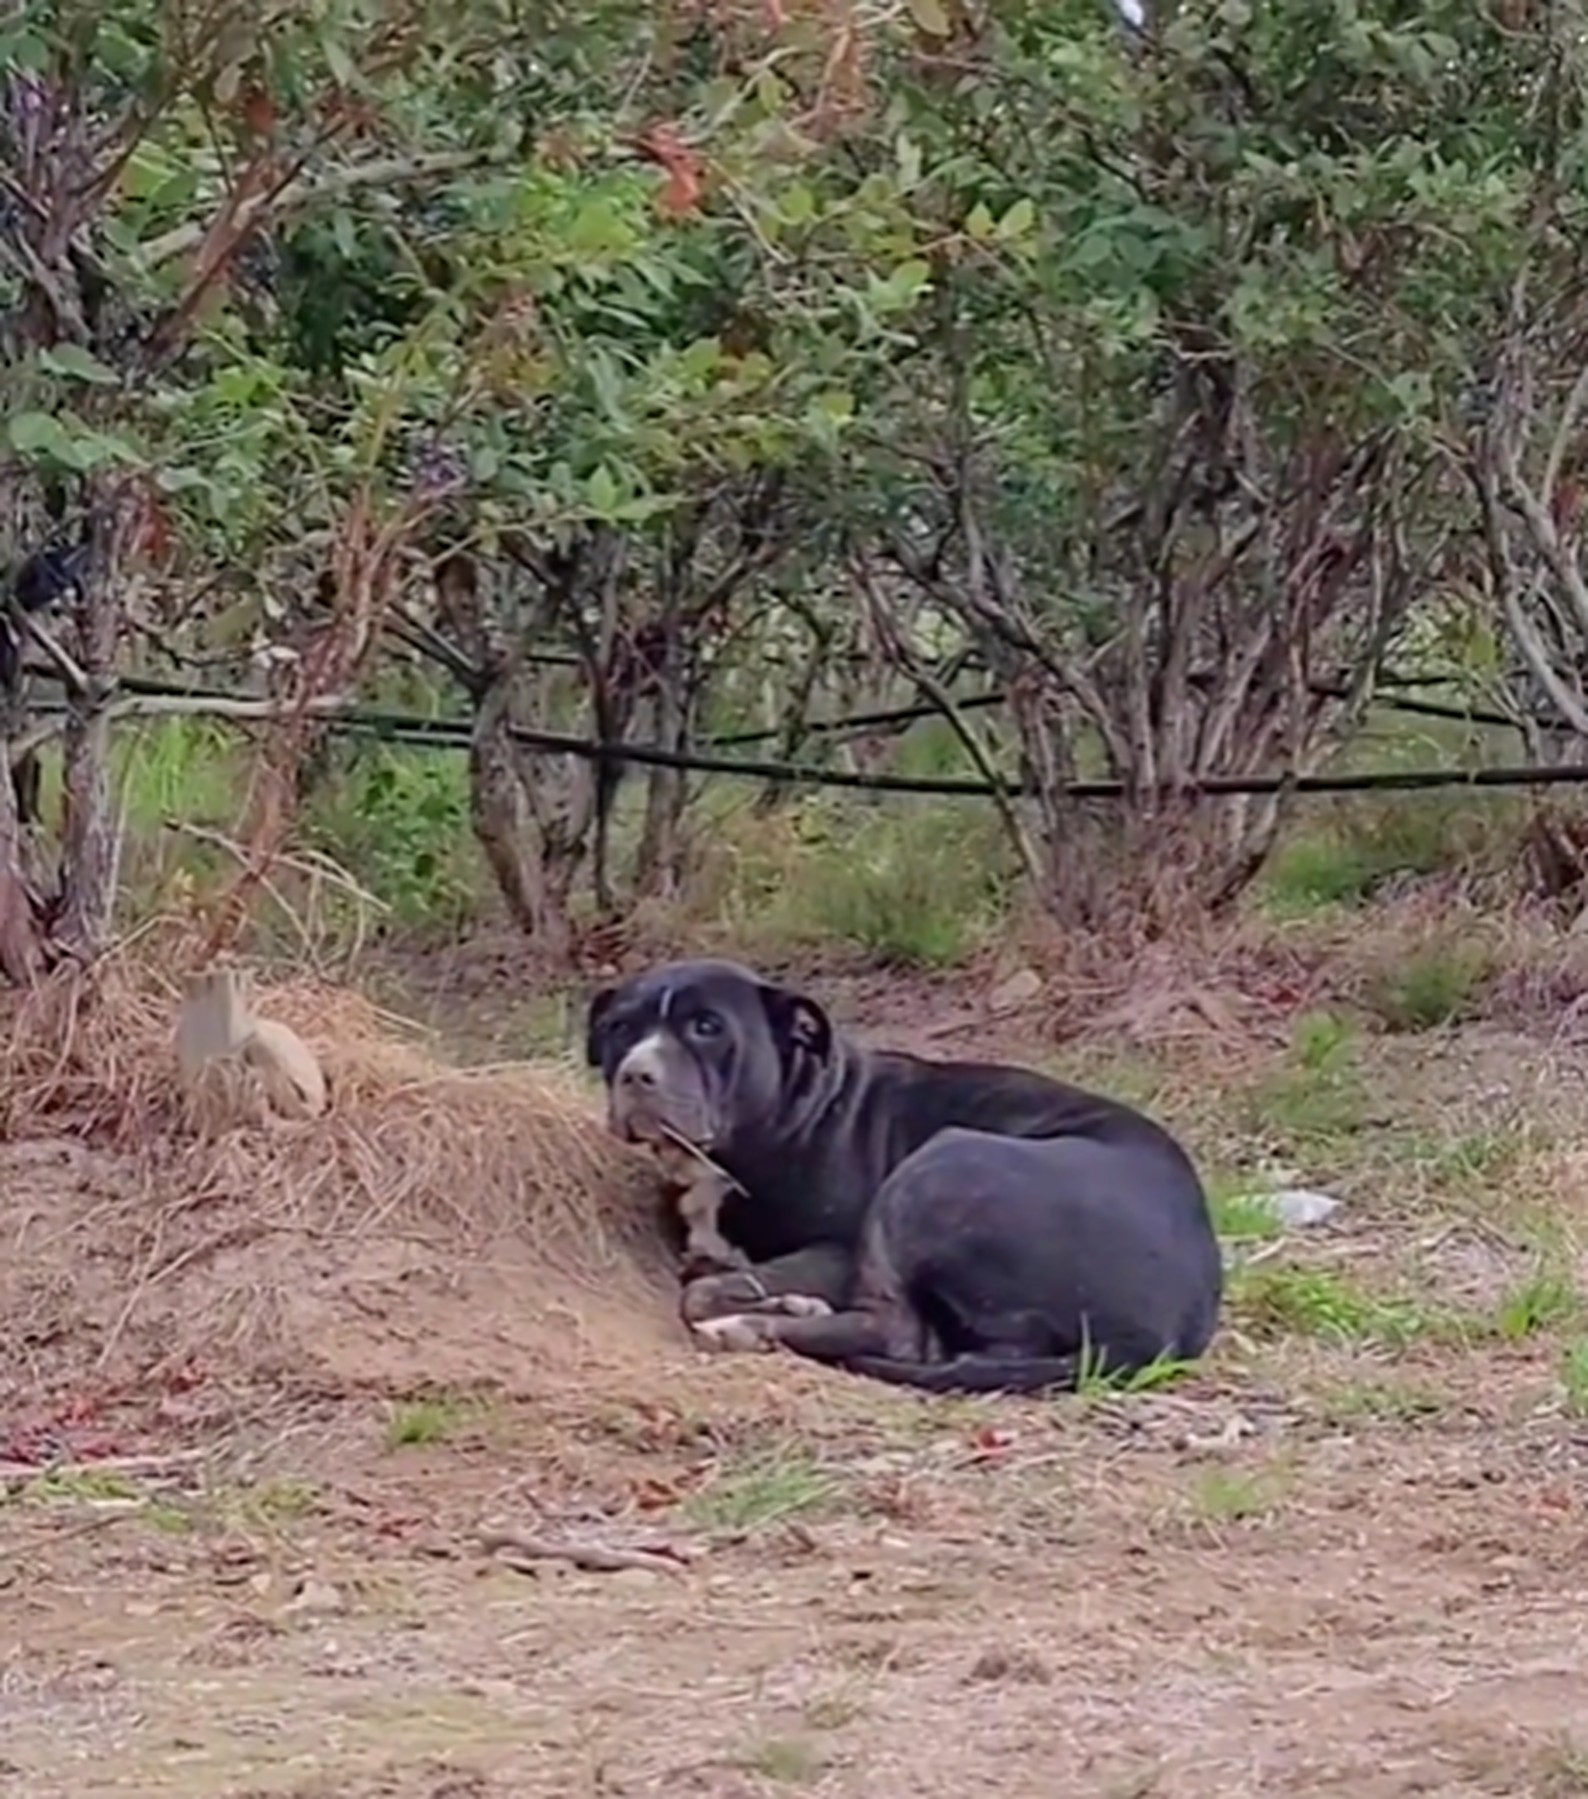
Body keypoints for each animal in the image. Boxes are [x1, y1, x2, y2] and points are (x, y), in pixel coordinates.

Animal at [589, 957, 1222, 1388]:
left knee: (897, 1331)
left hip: (939, 1166)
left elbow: (700, 1292)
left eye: (707, 1027)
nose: (636, 1074)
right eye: (621, 1027)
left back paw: (751, 1325)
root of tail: (1160, 1333)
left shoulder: (839, 1250)